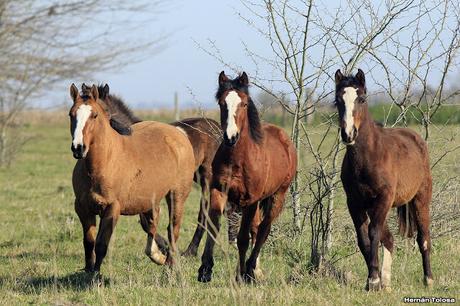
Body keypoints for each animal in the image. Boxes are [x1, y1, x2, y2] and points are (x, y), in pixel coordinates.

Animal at [70, 83, 196, 272]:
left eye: (95, 115)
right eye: (71, 114)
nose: (78, 147)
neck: (103, 164)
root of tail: (179, 134)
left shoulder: (112, 209)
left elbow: (101, 245)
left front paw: (95, 276)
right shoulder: (83, 208)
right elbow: (89, 243)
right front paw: (88, 271)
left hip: (177, 195)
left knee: (173, 228)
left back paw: (170, 266)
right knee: (153, 224)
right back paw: (159, 257)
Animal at [95, 83, 243, 256]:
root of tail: (218, 130)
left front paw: (165, 247)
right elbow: (145, 221)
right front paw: (163, 247)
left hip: (207, 177)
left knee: (205, 212)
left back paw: (192, 250)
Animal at [196, 71, 296, 282]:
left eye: (243, 104)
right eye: (222, 103)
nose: (230, 137)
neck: (238, 159)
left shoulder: (250, 200)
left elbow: (242, 238)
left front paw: (241, 275)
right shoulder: (219, 191)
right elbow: (214, 228)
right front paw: (205, 269)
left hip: (277, 196)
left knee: (263, 230)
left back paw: (250, 268)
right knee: (256, 228)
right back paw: (255, 269)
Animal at [336, 68, 434, 290]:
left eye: (362, 99)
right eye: (338, 101)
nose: (348, 134)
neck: (368, 157)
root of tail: (416, 139)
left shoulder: (384, 198)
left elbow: (373, 233)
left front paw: (373, 280)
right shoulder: (355, 203)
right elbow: (363, 238)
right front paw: (373, 280)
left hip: (420, 198)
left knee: (423, 238)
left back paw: (428, 279)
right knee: (388, 239)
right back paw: (387, 282)